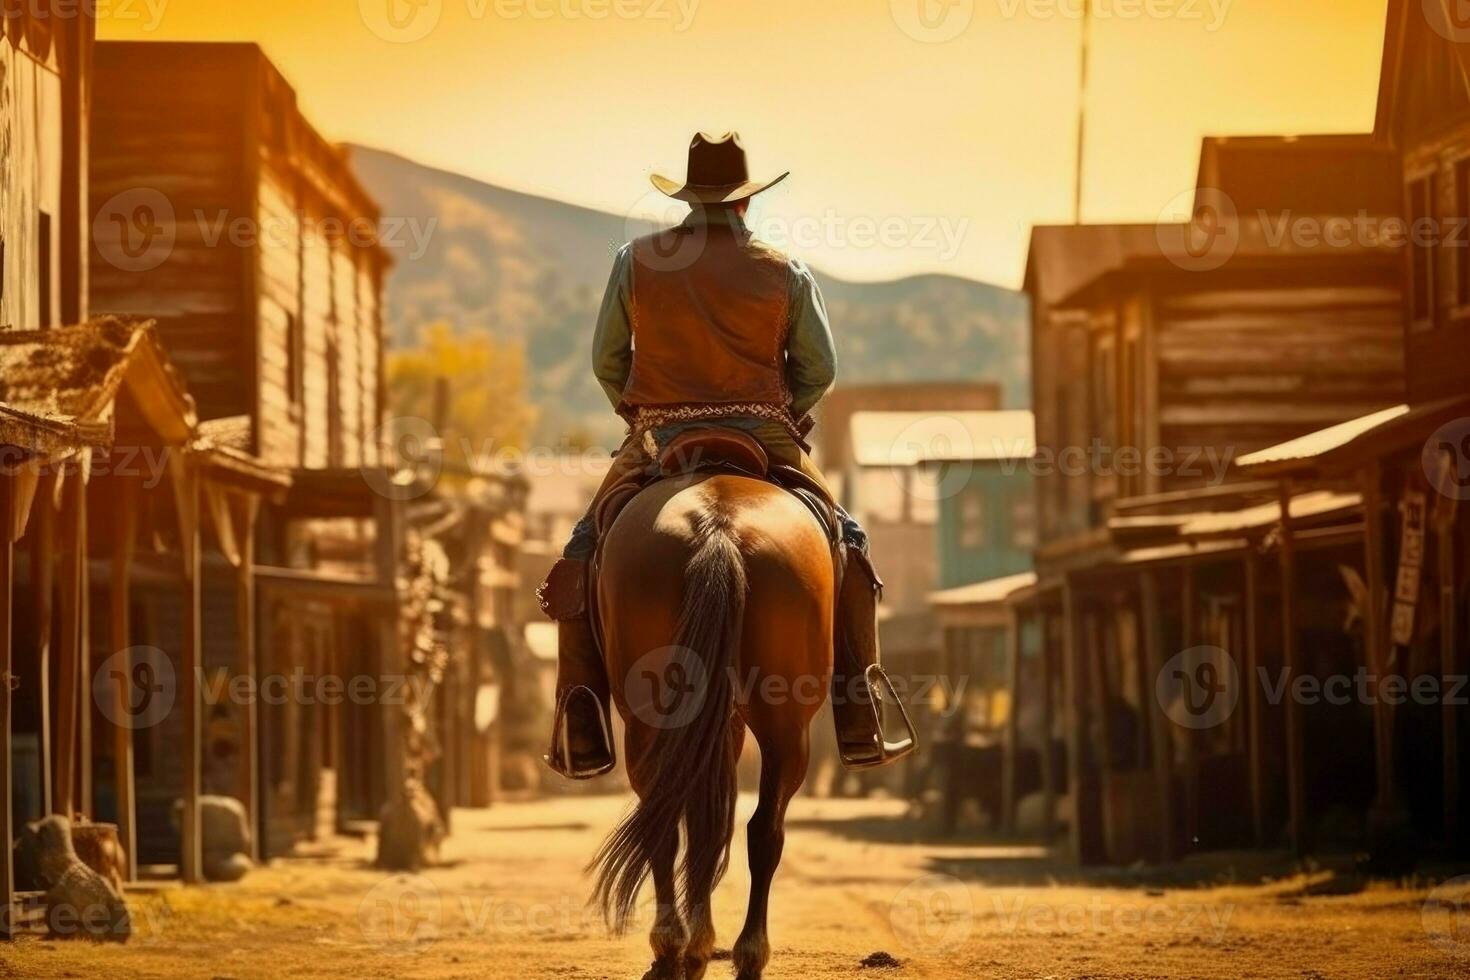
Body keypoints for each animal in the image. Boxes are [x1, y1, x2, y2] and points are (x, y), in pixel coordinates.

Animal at [588, 470, 840, 980]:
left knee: (674, 819)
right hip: (784, 726)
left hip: (652, 719)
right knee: (759, 829)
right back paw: (737, 952)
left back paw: (679, 949)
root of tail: (719, 527)